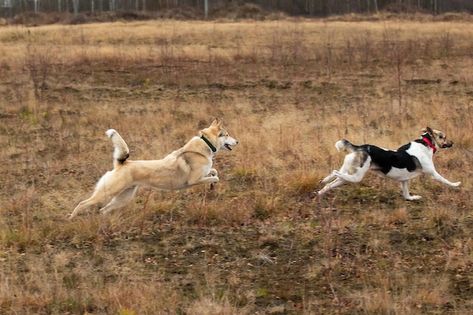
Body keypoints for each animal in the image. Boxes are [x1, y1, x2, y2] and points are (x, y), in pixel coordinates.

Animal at [68, 118, 238, 220]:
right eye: (227, 134)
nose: (237, 141)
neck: (206, 145)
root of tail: (122, 163)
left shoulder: (204, 173)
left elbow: (214, 171)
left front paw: (212, 185)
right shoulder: (194, 180)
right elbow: (215, 176)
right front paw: (213, 183)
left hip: (124, 197)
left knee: (103, 210)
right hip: (107, 193)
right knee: (82, 204)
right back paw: (70, 218)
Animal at [316, 126, 460, 199]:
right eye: (443, 137)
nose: (452, 143)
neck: (426, 143)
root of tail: (360, 147)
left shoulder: (405, 180)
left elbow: (407, 195)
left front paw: (413, 198)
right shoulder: (433, 173)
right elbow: (446, 180)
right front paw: (456, 184)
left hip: (348, 175)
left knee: (331, 183)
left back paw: (320, 190)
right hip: (356, 176)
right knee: (335, 172)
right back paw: (324, 180)